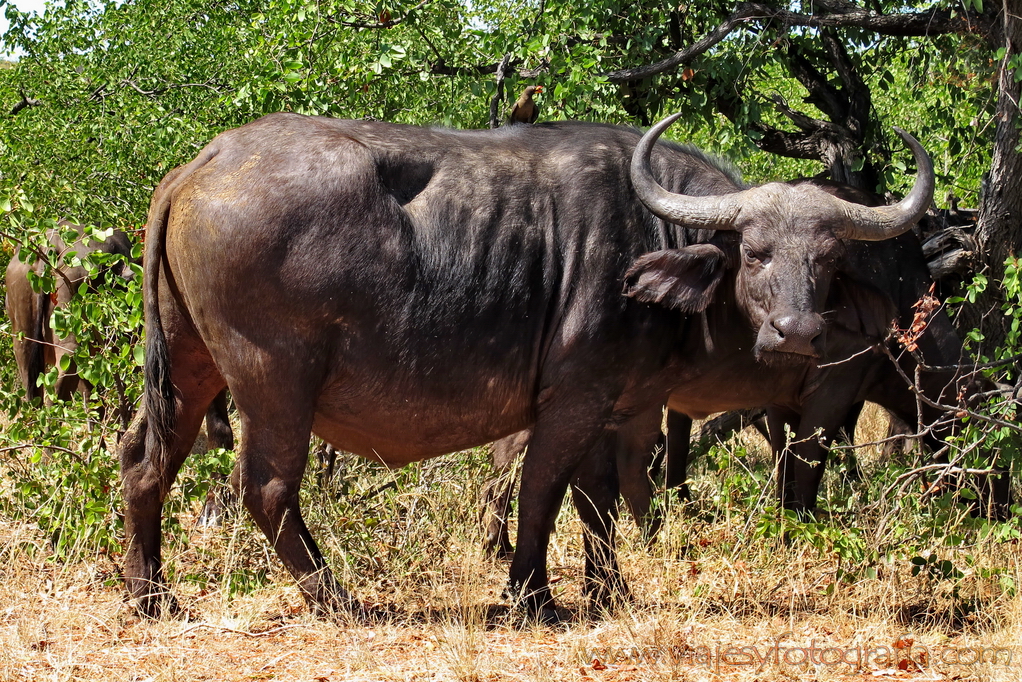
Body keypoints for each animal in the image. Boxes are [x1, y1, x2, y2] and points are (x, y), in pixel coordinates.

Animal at [115, 110, 932, 617]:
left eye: (827, 262)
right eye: (756, 252)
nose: (797, 333)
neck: (648, 239)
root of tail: (202, 163)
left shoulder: (617, 404)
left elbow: (599, 501)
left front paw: (611, 594)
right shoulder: (573, 399)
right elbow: (544, 489)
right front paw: (532, 595)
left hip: (189, 367)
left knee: (143, 458)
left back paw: (150, 596)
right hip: (275, 380)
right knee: (267, 486)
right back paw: (338, 599)